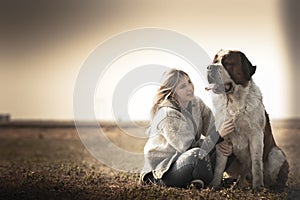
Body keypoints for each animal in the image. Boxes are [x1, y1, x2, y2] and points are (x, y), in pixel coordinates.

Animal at [206, 49, 288, 190]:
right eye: (215, 61)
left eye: (227, 63)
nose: (209, 67)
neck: (234, 102)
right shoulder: (223, 136)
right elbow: (219, 166)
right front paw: (214, 185)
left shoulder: (256, 135)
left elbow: (256, 163)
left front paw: (258, 187)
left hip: (276, 153)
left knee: (271, 175)